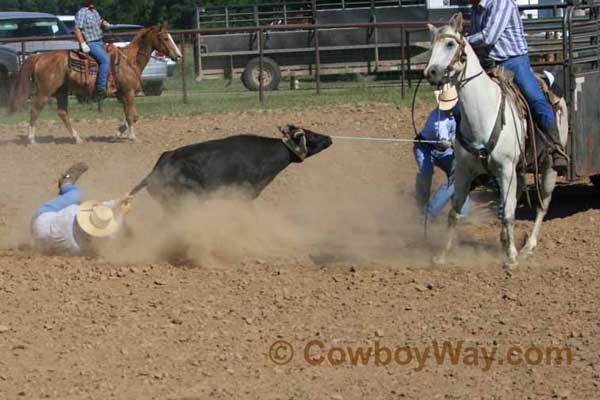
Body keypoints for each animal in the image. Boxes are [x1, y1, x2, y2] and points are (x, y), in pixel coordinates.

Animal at [8, 21, 182, 145]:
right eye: (165, 38)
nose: (179, 55)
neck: (129, 61)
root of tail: (39, 56)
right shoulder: (128, 93)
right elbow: (131, 116)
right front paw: (132, 137)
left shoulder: (123, 95)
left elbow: (133, 116)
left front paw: (116, 135)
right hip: (45, 92)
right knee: (35, 110)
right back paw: (32, 140)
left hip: (61, 91)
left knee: (62, 113)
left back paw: (77, 138)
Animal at [422, 13, 568, 268]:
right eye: (432, 46)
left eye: (450, 44)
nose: (431, 72)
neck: (484, 112)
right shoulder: (464, 171)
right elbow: (454, 212)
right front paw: (442, 255)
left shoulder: (505, 169)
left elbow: (509, 213)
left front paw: (511, 258)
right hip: (518, 170)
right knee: (514, 200)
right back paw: (505, 241)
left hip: (547, 167)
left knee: (542, 205)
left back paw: (527, 247)